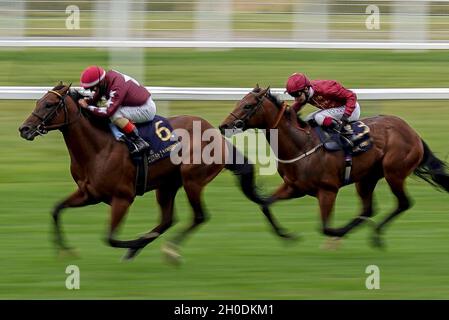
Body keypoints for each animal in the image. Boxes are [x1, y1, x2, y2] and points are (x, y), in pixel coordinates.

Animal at [19, 84, 268, 262]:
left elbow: (110, 238)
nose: (24, 129)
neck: (98, 148)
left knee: (198, 216)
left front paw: (133, 244)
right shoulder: (89, 194)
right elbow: (56, 209)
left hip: (192, 180)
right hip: (167, 185)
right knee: (167, 220)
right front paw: (65, 250)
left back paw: (167, 250)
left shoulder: (122, 197)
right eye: (38, 101)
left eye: (50, 104)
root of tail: (216, 133)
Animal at [219, 86, 448, 246]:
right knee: (368, 208)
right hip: (367, 178)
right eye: (240, 101)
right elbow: (266, 205)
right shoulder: (294, 188)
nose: (223, 126)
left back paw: (375, 235)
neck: (301, 145)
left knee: (403, 203)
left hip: (394, 173)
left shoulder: (328, 190)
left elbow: (326, 228)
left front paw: (336, 235)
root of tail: (414, 133)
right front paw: (288, 235)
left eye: (248, 106)